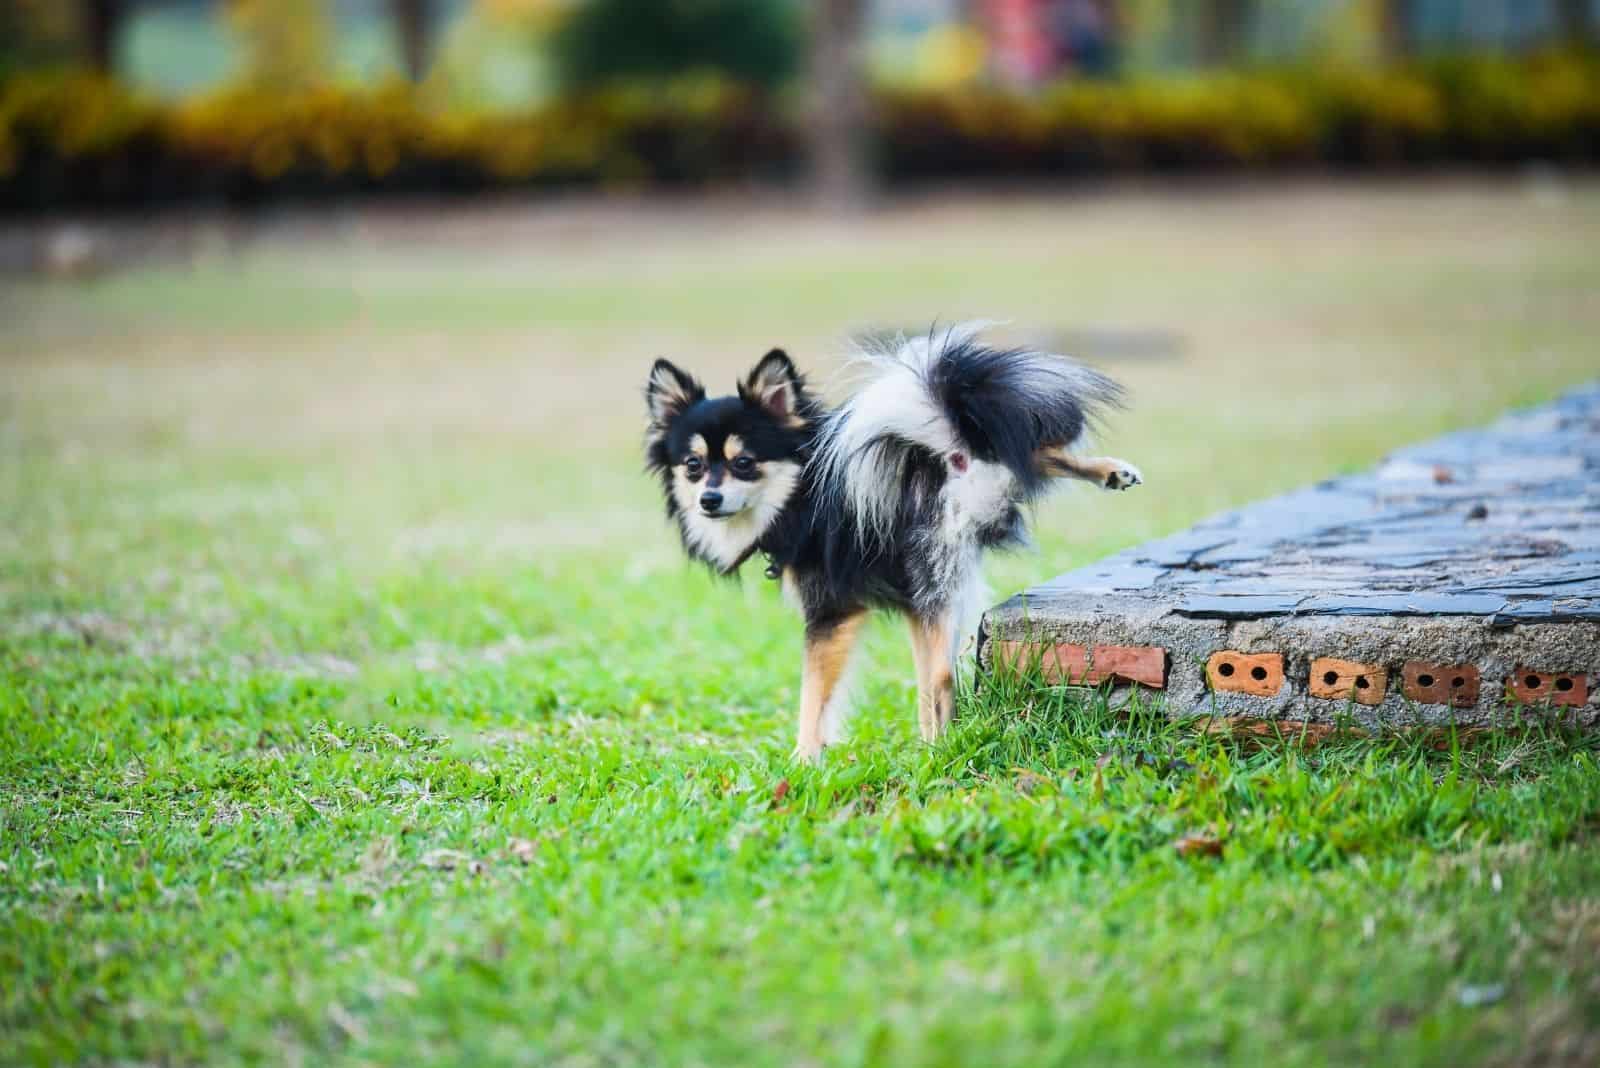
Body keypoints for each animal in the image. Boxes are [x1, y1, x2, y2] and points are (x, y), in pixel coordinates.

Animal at [643, 322, 1145, 757]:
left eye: (744, 463)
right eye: (692, 466)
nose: (708, 499)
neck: (800, 492)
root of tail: (951, 454)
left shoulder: (830, 614)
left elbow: (814, 701)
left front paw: (804, 761)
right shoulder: (911, 605)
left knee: (942, 678)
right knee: (1026, 451)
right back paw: (1112, 470)